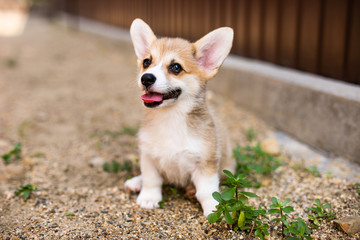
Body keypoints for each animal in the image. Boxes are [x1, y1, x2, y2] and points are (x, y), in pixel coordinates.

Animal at [125, 18, 235, 217]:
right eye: (146, 62)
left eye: (176, 67)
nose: (146, 78)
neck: (171, 117)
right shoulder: (148, 156)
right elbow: (151, 179)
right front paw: (149, 198)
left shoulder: (205, 163)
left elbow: (207, 191)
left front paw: (214, 209)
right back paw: (136, 182)